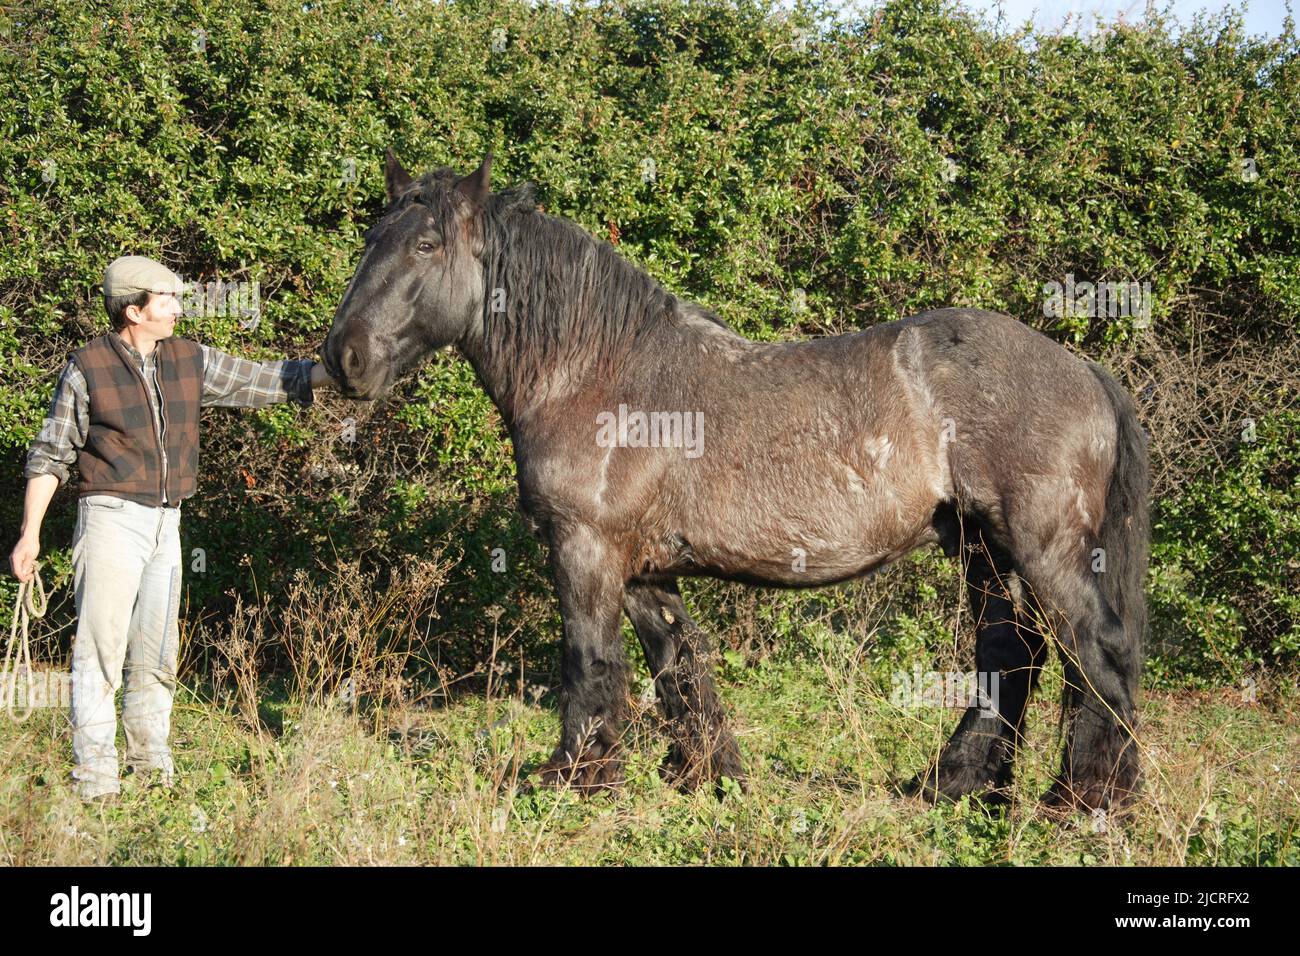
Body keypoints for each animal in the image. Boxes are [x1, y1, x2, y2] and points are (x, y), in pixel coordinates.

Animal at [320, 149, 1149, 814]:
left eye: (426, 243)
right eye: (370, 240)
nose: (343, 357)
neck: (595, 369)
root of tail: (1082, 369)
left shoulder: (586, 549)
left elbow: (589, 661)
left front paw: (574, 780)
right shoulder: (643, 569)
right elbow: (679, 666)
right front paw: (706, 777)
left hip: (1039, 544)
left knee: (1094, 648)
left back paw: (1083, 800)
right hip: (985, 548)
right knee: (1013, 654)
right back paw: (957, 785)